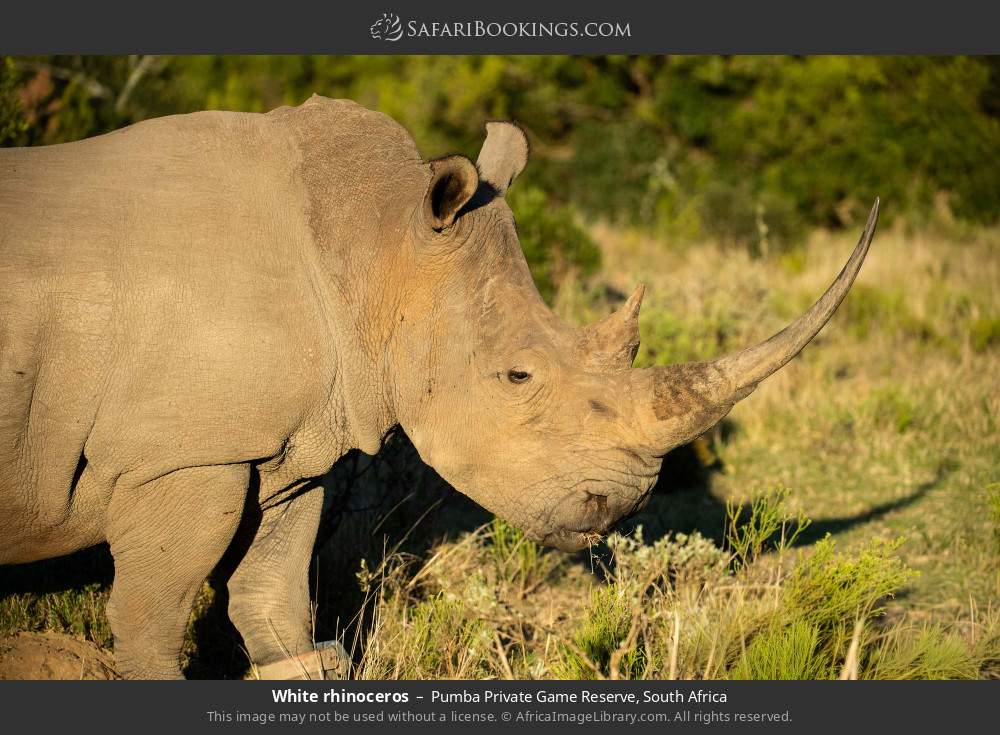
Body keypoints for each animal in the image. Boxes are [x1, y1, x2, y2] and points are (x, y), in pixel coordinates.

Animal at [0, 95, 878, 679]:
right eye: (517, 375)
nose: (620, 506)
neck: (377, 246)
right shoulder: (184, 452)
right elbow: (151, 617)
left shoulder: (286, 447)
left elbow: (275, 604)